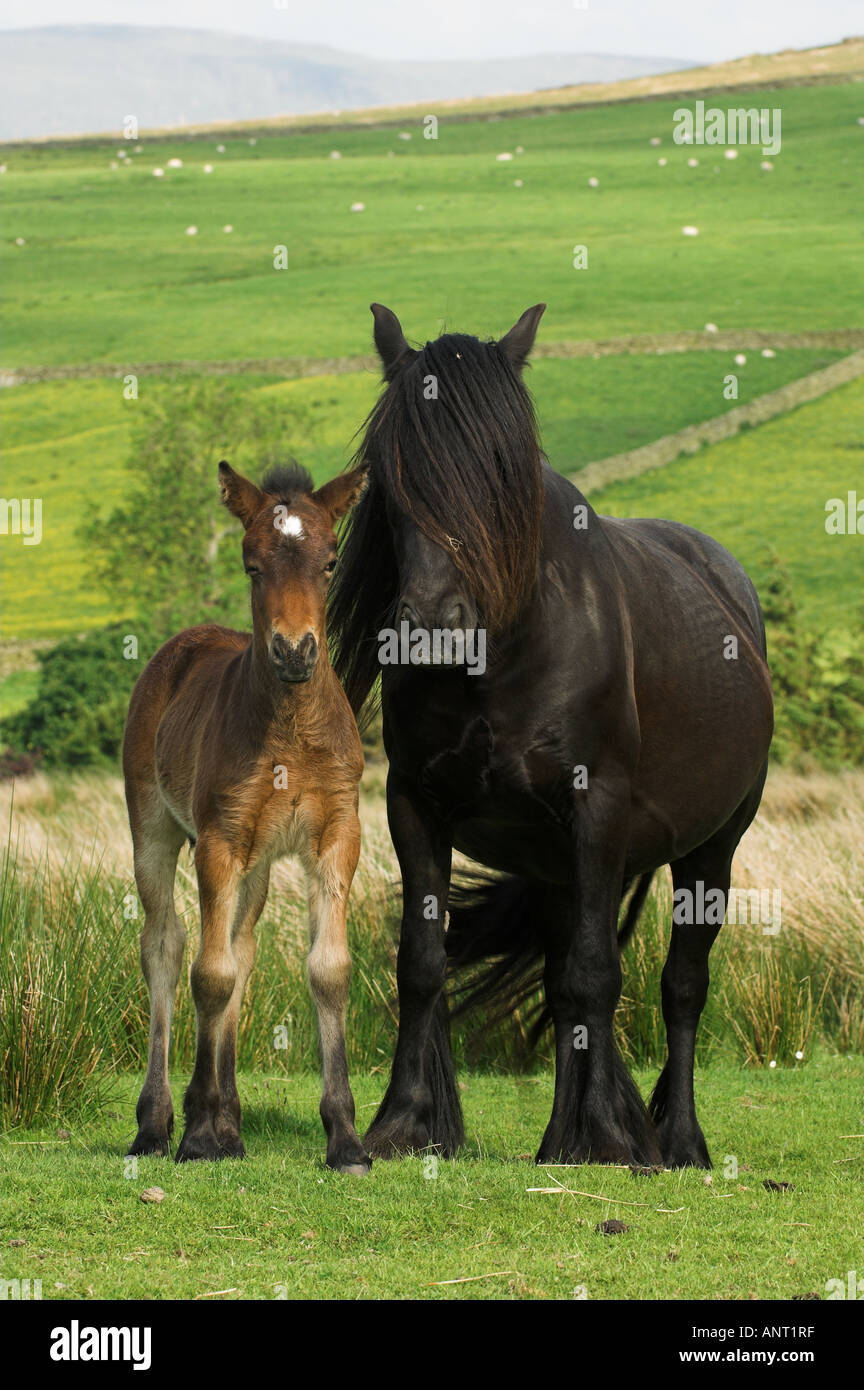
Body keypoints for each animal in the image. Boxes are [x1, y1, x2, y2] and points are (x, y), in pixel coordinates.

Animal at [123, 459, 372, 1174]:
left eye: (330, 561)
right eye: (250, 564)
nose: (294, 651)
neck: (289, 730)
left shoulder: (339, 833)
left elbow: (326, 969)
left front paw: (346, 1139)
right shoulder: (219, 839)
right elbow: (208, 974)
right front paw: (197, 1135)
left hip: (258, 863)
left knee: (242, 947)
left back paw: (228, 1121)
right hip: (153, 830)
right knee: (167, 945)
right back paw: (159, 1123)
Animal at [328, 302, 774, 1169]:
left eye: (501, 471)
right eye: (393, 475)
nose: (433, 630)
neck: (503, 661)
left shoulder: (596, 812)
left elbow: (601, 975)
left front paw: (608, 1136)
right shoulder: (414, 807)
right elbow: (422, 963)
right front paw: (406, 1122)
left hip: (710, 851)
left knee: (680, 986)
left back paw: (675, 1140)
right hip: (561, 867)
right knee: (568, 974)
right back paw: (569, 1139)